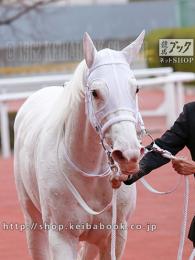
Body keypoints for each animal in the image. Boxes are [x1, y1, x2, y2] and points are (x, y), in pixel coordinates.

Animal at [13, 31, 144, 258]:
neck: (89, 175)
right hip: (32, 217)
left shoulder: (116, 235)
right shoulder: (61, 236)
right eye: (95, 92)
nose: (128, 155)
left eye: (135, 89)